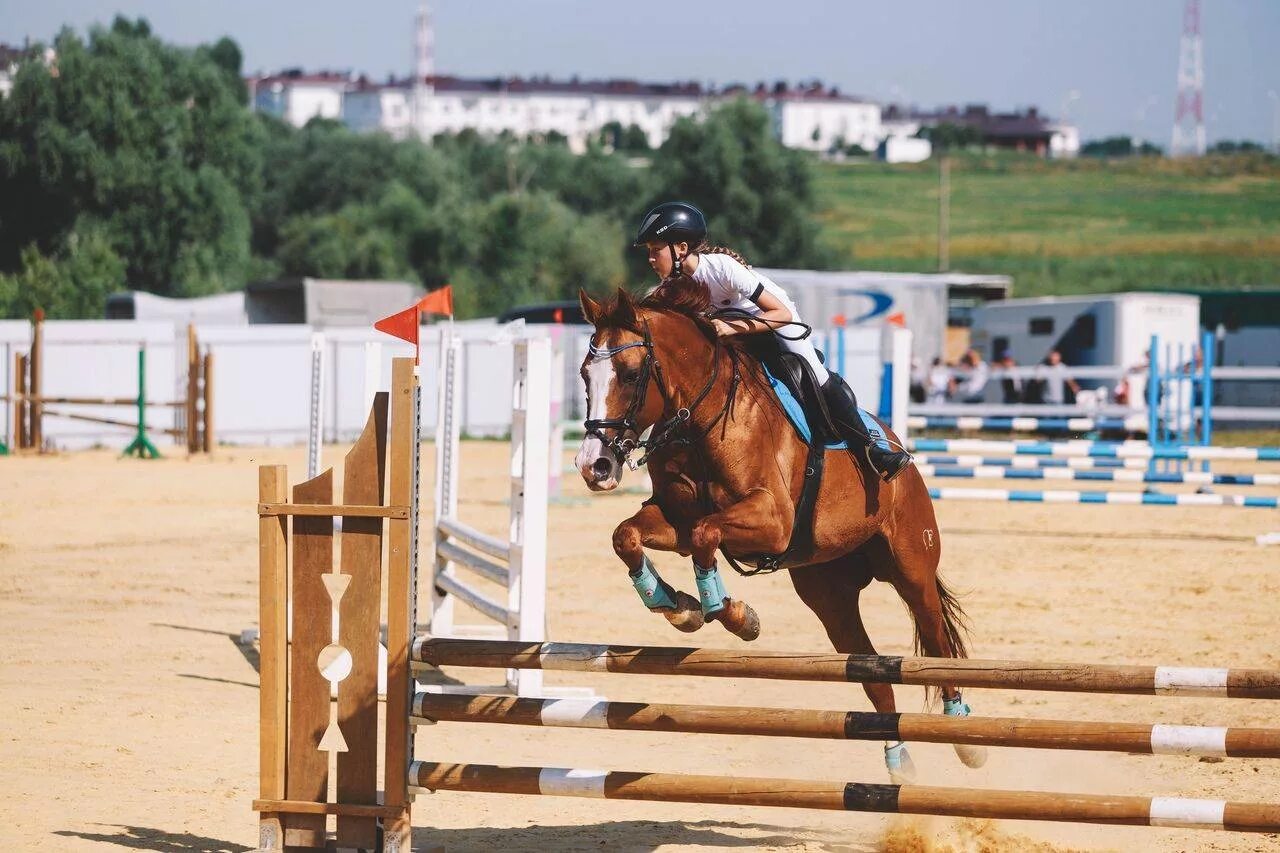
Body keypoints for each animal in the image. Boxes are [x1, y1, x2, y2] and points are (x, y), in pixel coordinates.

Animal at [576, 281, 983, 778]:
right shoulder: (677, 519)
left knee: (937, 641)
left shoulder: (773, 523)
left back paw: (962, 733)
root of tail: (900, 450)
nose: (594, 466)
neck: (700, 417)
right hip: (829, 596)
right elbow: (630, 536)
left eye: (632, 374)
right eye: (584, 375)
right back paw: (897, 759)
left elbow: (707, 534)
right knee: (871, 672)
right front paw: (677, 606)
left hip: (911, 568)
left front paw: (731, 613)